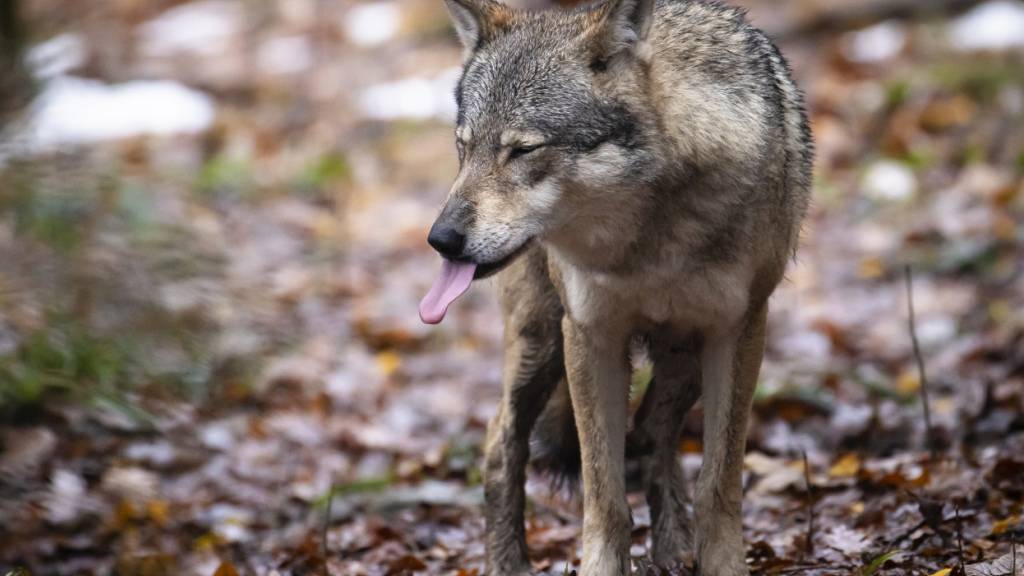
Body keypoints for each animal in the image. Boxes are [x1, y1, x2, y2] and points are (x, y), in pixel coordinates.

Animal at [418, 0, 813, 573]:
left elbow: (718, 486)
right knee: (501, 443)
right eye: (463, 148)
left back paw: (672, 549)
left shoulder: (738, 331)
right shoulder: (590, 336)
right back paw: (509, 563)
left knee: (650, 432)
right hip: (542, 344)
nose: (441, 239)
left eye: (523, 149)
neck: (649, 243)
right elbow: (604, 498)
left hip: (682, 356)